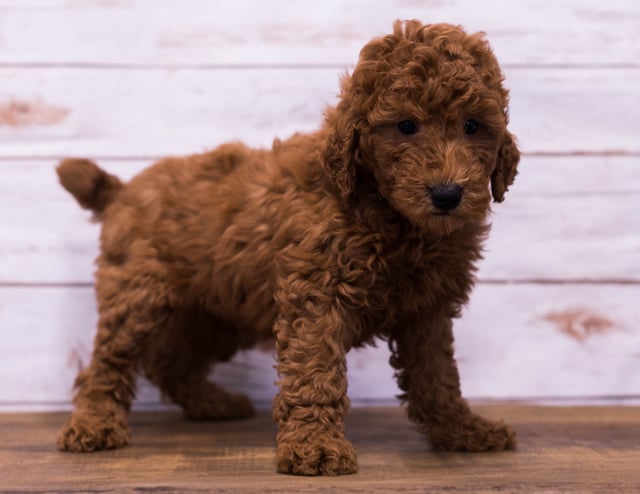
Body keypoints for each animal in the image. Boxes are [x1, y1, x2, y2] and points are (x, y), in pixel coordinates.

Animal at [56, 21, 520, 476]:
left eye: (473, 126)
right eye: (406, 126)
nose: (447, 194)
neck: (393, 219)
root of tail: (123, 189)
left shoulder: (427, 310)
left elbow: (437, 374)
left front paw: (461, 429)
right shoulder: (317, 294)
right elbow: (315, 371)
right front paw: (315, 446)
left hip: (214, 311)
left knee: (170, 362)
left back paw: (212, 402)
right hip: (139, 294)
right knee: (108, 361)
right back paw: (95, 424)